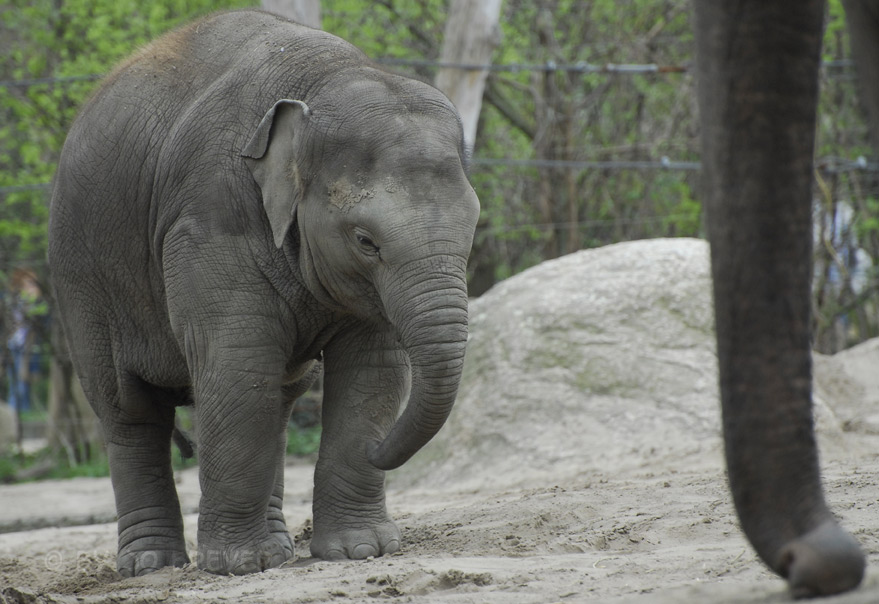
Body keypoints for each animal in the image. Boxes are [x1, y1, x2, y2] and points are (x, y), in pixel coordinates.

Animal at [49, 9, 482, 576]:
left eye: (474, 225)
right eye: (366, 241)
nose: (379, 450)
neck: (323, 81)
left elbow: (374, 370)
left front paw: (360, 551)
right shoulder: (208, 220)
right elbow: (239, 363)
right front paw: (238, 565)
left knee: (280, 397)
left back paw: (276, 549)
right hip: (81, 282)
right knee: (129, 411)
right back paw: (153, 565)